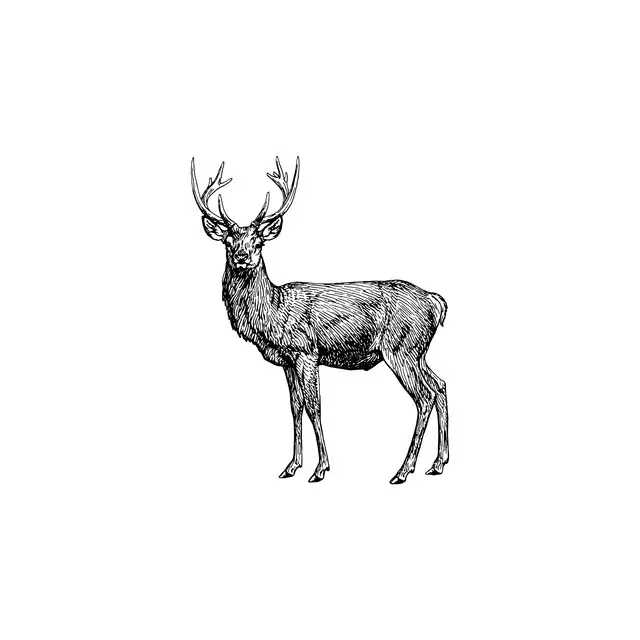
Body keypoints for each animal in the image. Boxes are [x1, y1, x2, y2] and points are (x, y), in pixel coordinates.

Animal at [191, 156, 449, 484]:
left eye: (259, 242)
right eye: (227, 241)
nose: (242, 257)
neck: (273, 312)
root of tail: (436, 302)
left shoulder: (306, 352)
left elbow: (315, 407)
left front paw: (320, 468)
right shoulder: (287, 361)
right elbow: (295, 407)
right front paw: (291, 466)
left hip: (401, 348)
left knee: (425, 396)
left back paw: (403, 470)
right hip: (418, 352)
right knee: (440, 385)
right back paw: (438, 463)